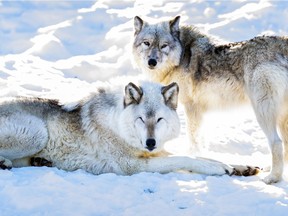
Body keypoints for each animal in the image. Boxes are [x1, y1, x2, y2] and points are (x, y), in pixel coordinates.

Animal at [0, 82, 258, 176]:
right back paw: (6, 163)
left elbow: (200, 155)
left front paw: (240, 167)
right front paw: (217, 168)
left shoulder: (155, 152)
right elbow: (186, 158)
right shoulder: (133, 165)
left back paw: (39, 162)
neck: (117, 125)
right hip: (37, 133)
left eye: (159, 120)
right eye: (141, 119)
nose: (150, 143)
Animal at [133, 16, 288, 184]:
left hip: (262, 112)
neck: (181, 56)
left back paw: (272, 178)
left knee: (277, 142)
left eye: (163, 46)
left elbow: (193, 139)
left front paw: (193, 156)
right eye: (146, 43)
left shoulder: (191, 107)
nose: (152, 61)